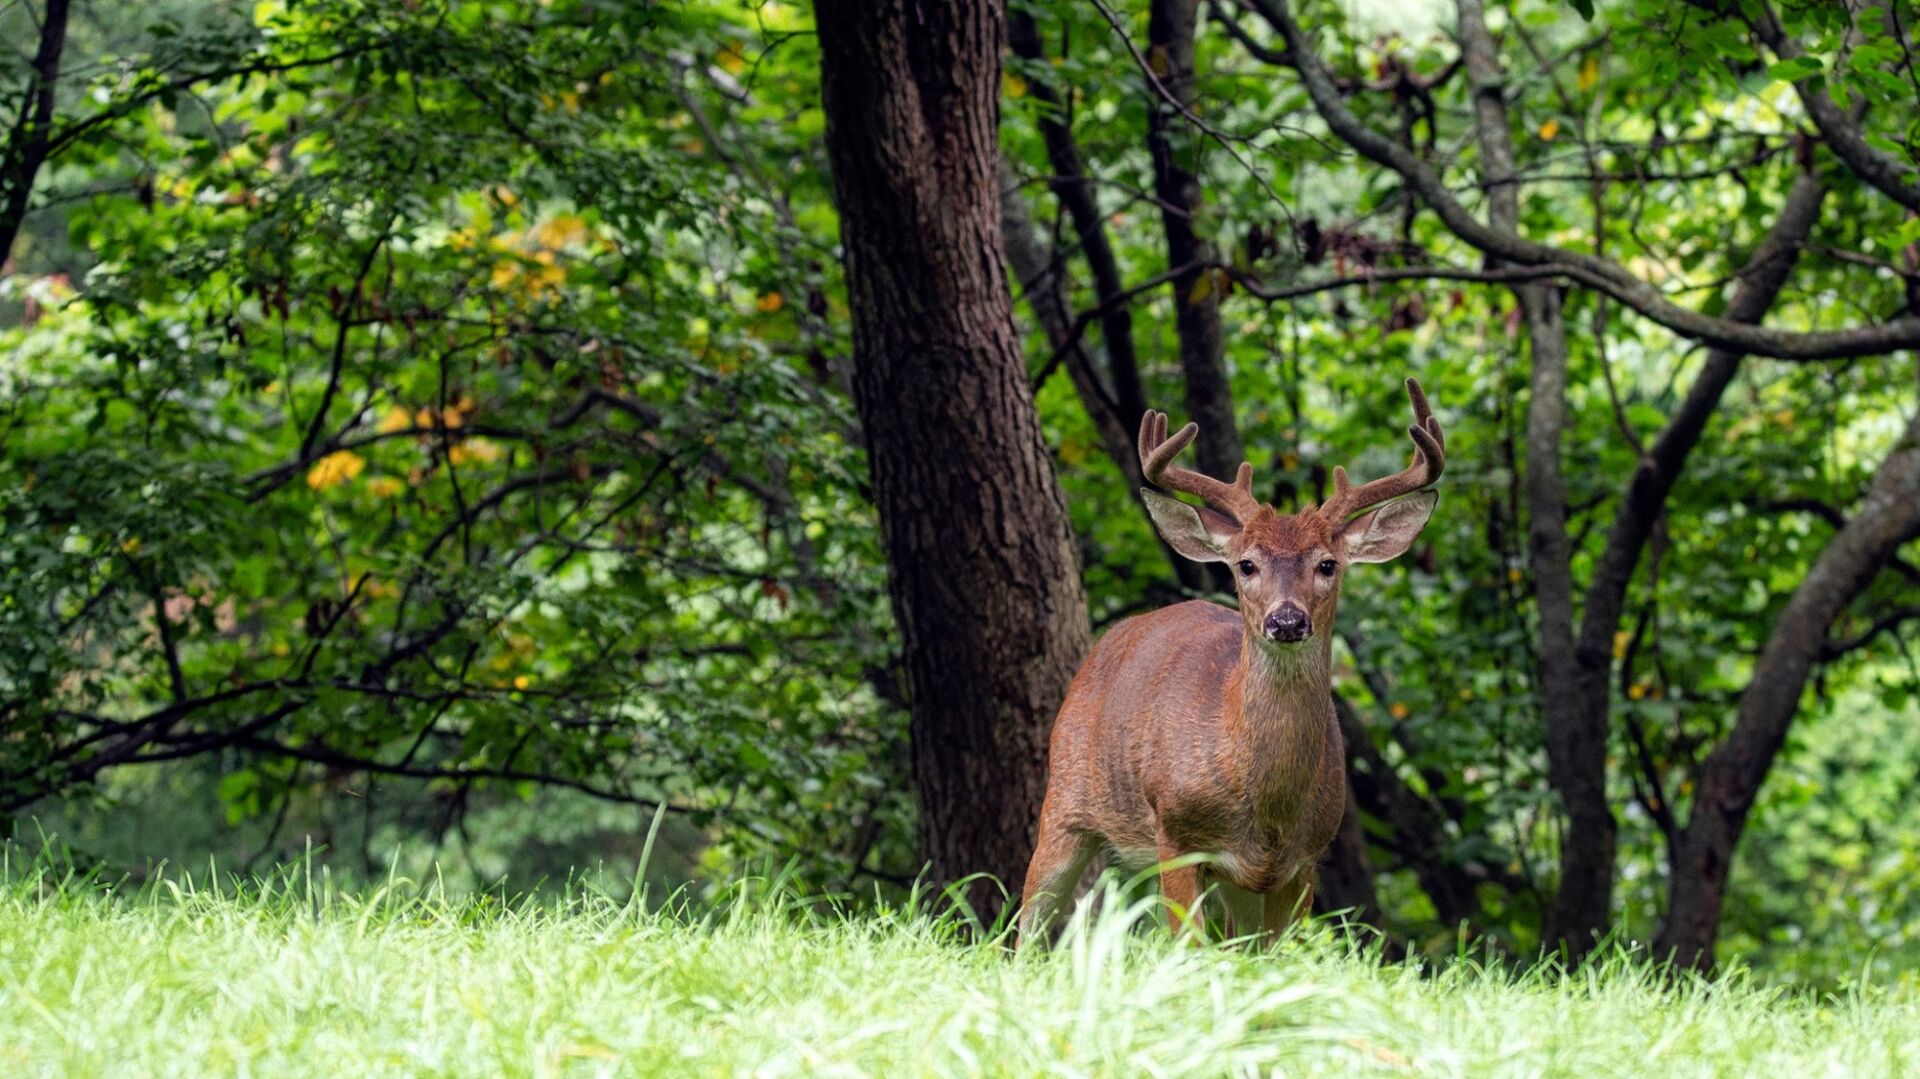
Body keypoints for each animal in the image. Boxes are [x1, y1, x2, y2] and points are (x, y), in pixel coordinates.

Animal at [1019, 378, 1444, 944]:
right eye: (1246, 565)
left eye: (1327, 564)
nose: (1287, 620)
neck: (1266, 807)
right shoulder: (1176, 834)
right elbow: (1188, 944)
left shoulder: (1303, 862)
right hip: (1064, 804)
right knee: (1026, 928)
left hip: (1238, 885)